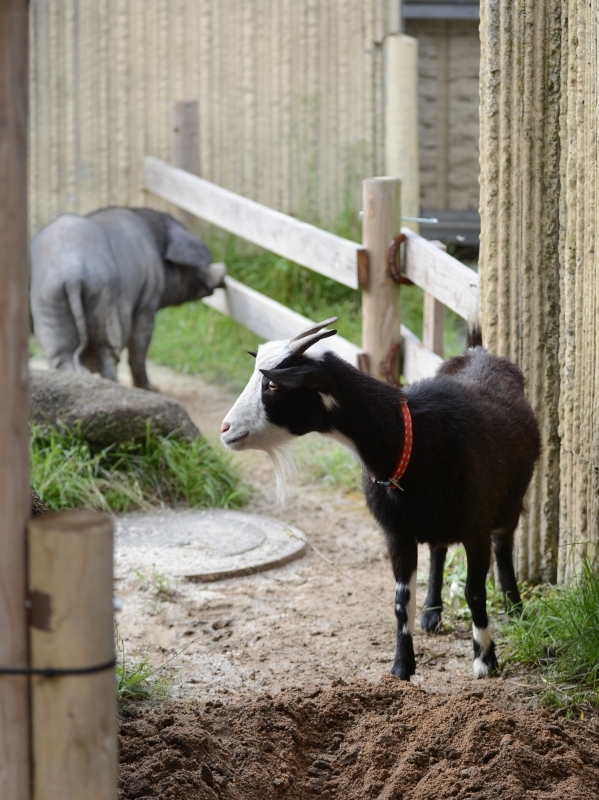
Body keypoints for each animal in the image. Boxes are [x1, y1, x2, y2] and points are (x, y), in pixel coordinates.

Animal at [223, 318, 540, 680]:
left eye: (273, 385)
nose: (225, 429)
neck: (408, 438)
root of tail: (478, 350)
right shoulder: (396, 532)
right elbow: (402, 600)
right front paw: (402, 666)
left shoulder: (476, 529)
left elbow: (474, 591)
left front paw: (485, 660)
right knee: (438, 550)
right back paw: (431, 613)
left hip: (508, 502)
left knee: (503, 545)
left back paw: (515, 607)